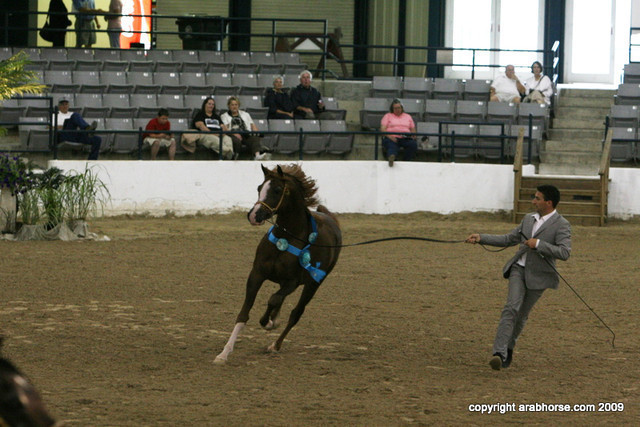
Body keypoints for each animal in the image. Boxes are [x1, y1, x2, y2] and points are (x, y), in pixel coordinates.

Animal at [215, 164, 342, 363]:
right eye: (259, 188)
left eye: (276, 190)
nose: (254, 215)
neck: (287, 238)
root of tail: (330, 218)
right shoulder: (256, 274)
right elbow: (244, 313)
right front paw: (224, 353)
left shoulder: (292, 282)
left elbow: (274, 299)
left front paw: (268, 323)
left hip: (314, 284)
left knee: (296, 313)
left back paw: (275, 345)